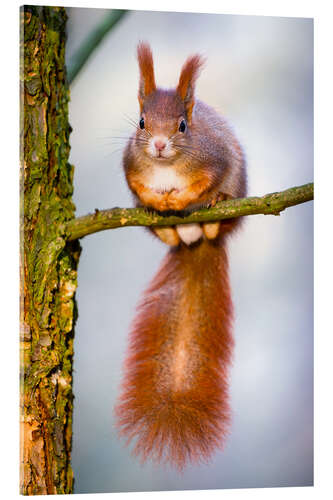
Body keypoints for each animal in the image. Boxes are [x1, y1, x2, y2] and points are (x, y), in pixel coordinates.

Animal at [115, 42, 246, 468]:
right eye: (142, 123)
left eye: (183, 126)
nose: (158, 145)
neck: (165, 166)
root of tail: (194, 241)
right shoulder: (130, 165)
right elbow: (138, 184)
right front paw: (158, 200)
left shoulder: (214, 157)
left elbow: (204, 181)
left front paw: (183, 198)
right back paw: (165, 222)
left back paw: (213, 214)